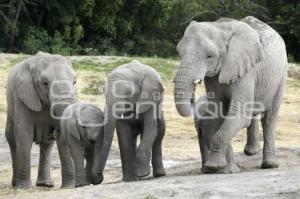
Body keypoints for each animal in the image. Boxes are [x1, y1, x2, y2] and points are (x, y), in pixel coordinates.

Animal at [5, 52, 77, 189]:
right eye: (45, 83)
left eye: (74, 82)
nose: (55, 130)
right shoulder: (22, 98)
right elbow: (24, 134)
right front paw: (24, 188)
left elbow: (62, 138)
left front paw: (69, 187)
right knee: (12, 138)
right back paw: (15, 184)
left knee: (47, 145)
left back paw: (45, 184)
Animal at [175, 16, 288, 173]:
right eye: (179, 53)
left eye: (209, 56)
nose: (195, 86)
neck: (219, 26)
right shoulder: (213, 77)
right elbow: (218, 115)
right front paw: (221, 168)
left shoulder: (247, 70)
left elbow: (239, 115)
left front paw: (215, 167)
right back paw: (251, 152)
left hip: (281, 73)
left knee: (269, 117)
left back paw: (269, 165)